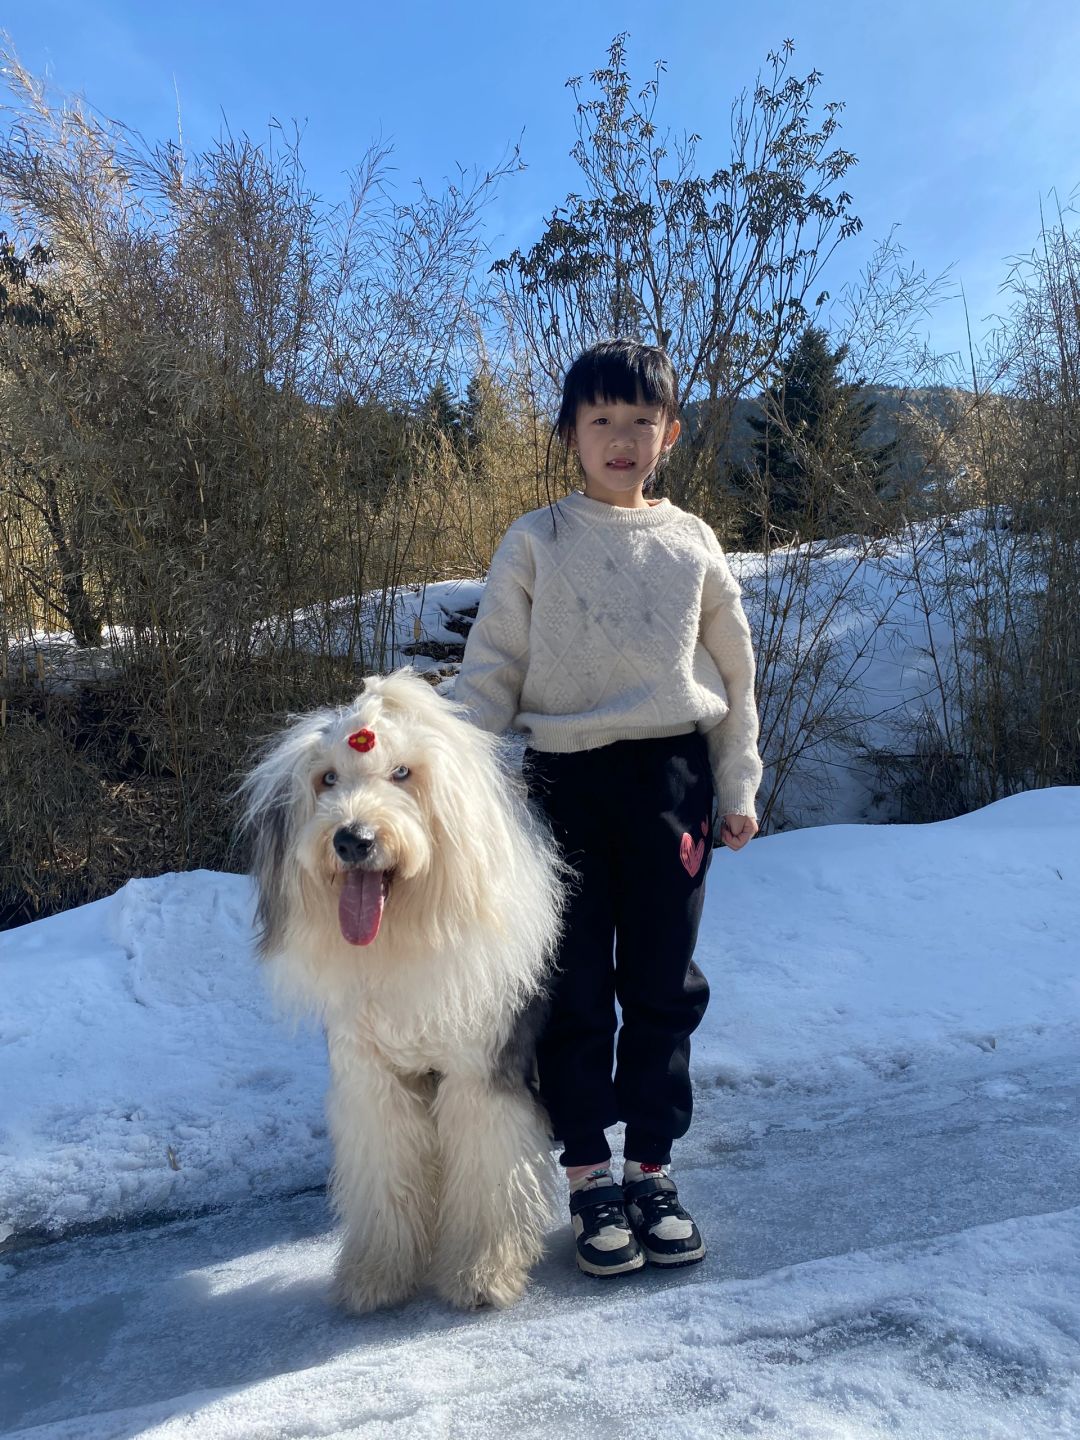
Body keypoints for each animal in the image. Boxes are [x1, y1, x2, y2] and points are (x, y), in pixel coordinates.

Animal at [238, 669, 563, 1313]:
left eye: (403, 774)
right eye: (326, 778)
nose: (352, 839)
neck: (401, 938)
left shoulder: (481, 1074)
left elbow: (487, 1174)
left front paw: (481, 1272)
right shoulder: (373, 1081)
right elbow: (387, 1173)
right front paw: (377, 1274)